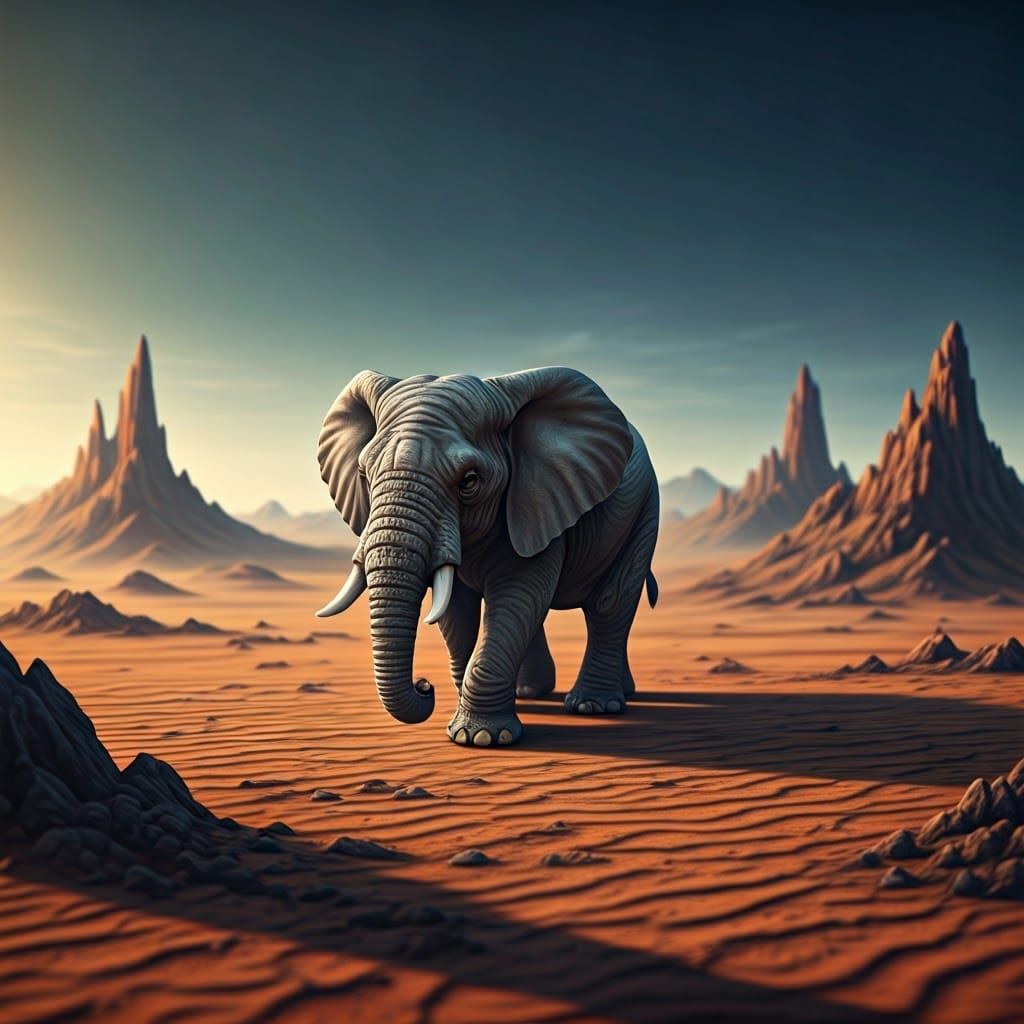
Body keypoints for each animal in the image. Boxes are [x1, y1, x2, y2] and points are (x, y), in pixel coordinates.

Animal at [313, 366, 659, 747]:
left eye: (469, 481)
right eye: (363, 474)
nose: (424, 685)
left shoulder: (533, 500)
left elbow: (517, 595)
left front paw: (480, 737)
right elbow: (458, 611)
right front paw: (472, 724)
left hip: (645, 508)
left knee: (609, 602)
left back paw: (593, 707)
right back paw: (533, 694)